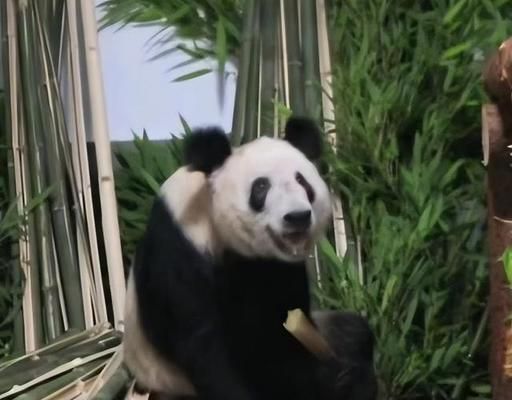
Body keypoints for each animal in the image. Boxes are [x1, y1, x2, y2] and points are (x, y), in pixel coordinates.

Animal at [121, 116, 376, 400]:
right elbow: (205, 346)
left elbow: (283, 325)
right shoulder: (179, 250)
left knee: (353, 331)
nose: (297, 217)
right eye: (261, 187)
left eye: (302, 181)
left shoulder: (277, 268)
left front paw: (341, 378)